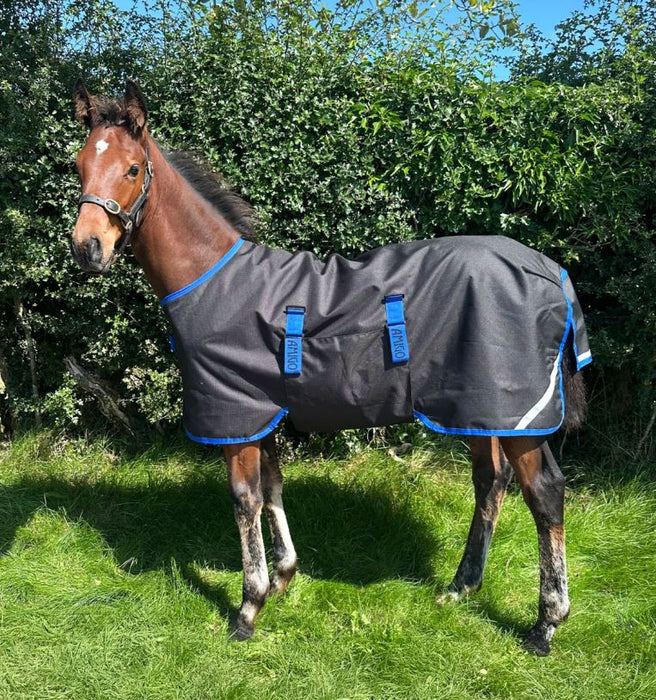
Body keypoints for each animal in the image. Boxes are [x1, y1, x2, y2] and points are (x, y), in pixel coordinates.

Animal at [70, 80, 590, 656]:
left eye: (132, 168)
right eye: (78, 165)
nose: (87, 247)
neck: (214, 280)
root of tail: (549, 270)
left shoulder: (236, 416)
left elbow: (245, 500)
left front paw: (248, 607)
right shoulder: (263, 414)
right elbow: (273, 487)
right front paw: (283, 577)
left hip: (520, 417)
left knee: (544, 495)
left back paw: (546, 622)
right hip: (476, 410)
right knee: (490, 482)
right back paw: (461, 587)